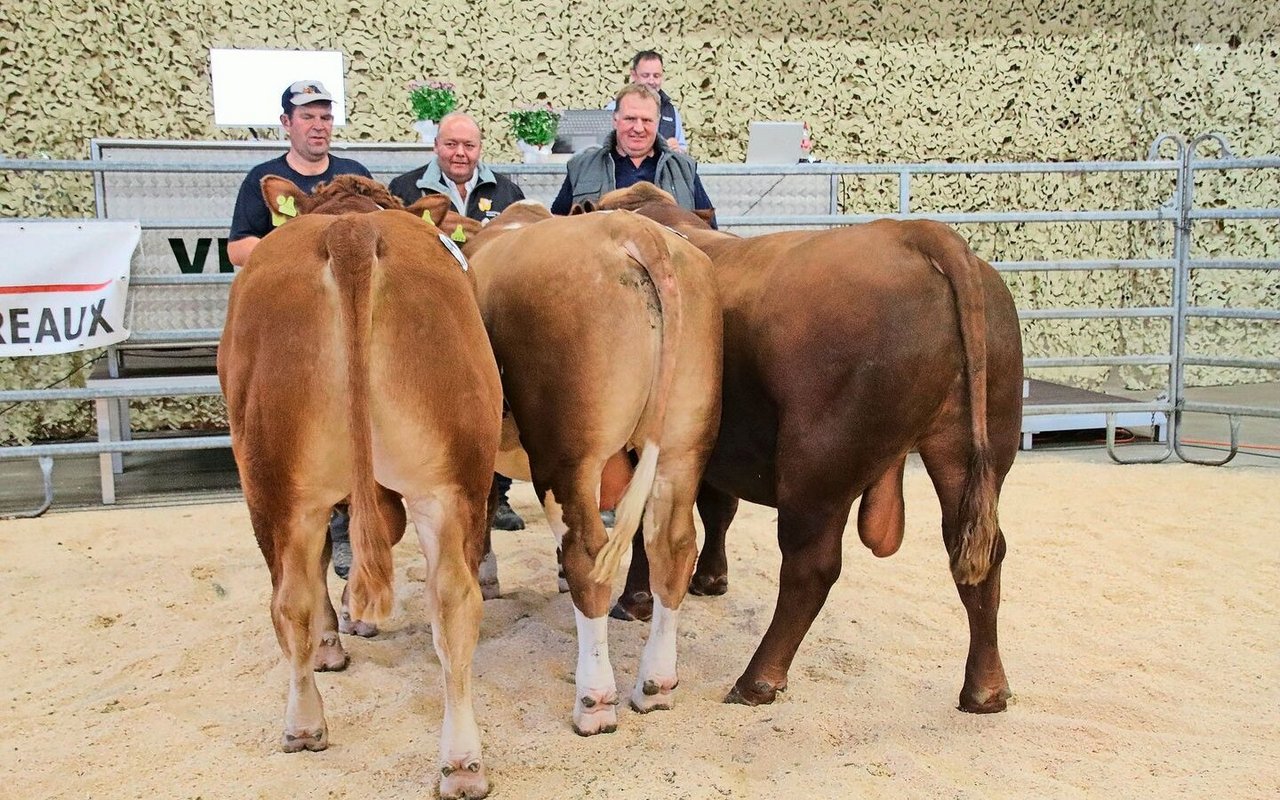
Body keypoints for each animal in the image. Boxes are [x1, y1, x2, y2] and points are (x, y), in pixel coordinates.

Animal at [217, 176, 496, 798]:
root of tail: (351, 231)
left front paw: (339, 632)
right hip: (452, 479)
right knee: (454, 601)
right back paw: (462, 763)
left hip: (272, 484)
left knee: (290, 599)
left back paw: (303, 724)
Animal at [460, 200, 727, 737]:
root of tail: (633, 229)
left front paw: (486, 575)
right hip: (683, 446)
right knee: (673, 548)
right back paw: (655, 685)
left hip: (568, 456)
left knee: (588, 552)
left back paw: (595, 700)